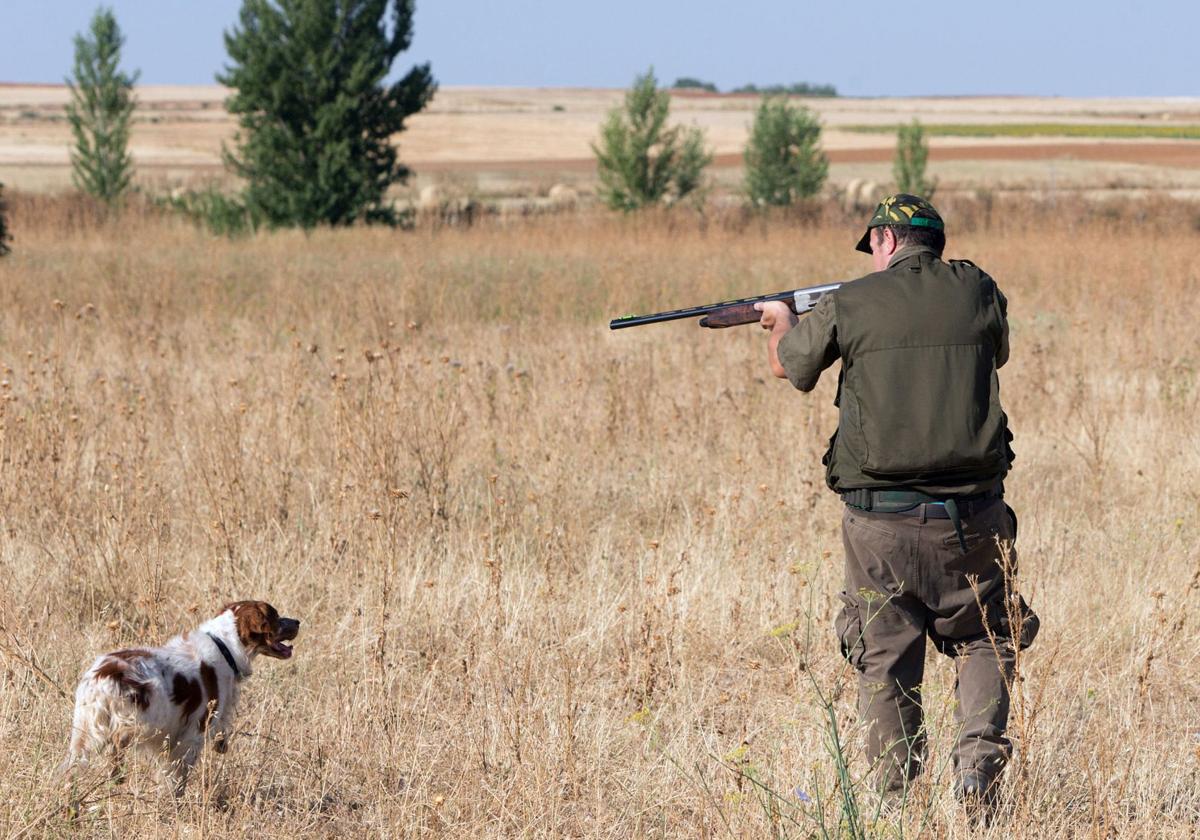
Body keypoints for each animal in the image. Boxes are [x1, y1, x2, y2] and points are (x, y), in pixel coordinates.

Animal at [60, 600, 300, 792]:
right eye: (275, 616)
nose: (298, 622)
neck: (226, 648)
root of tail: (103, 676)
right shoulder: (192, 734)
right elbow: (177, 776)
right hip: (144, 719)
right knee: (119, 741)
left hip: (83, 734)